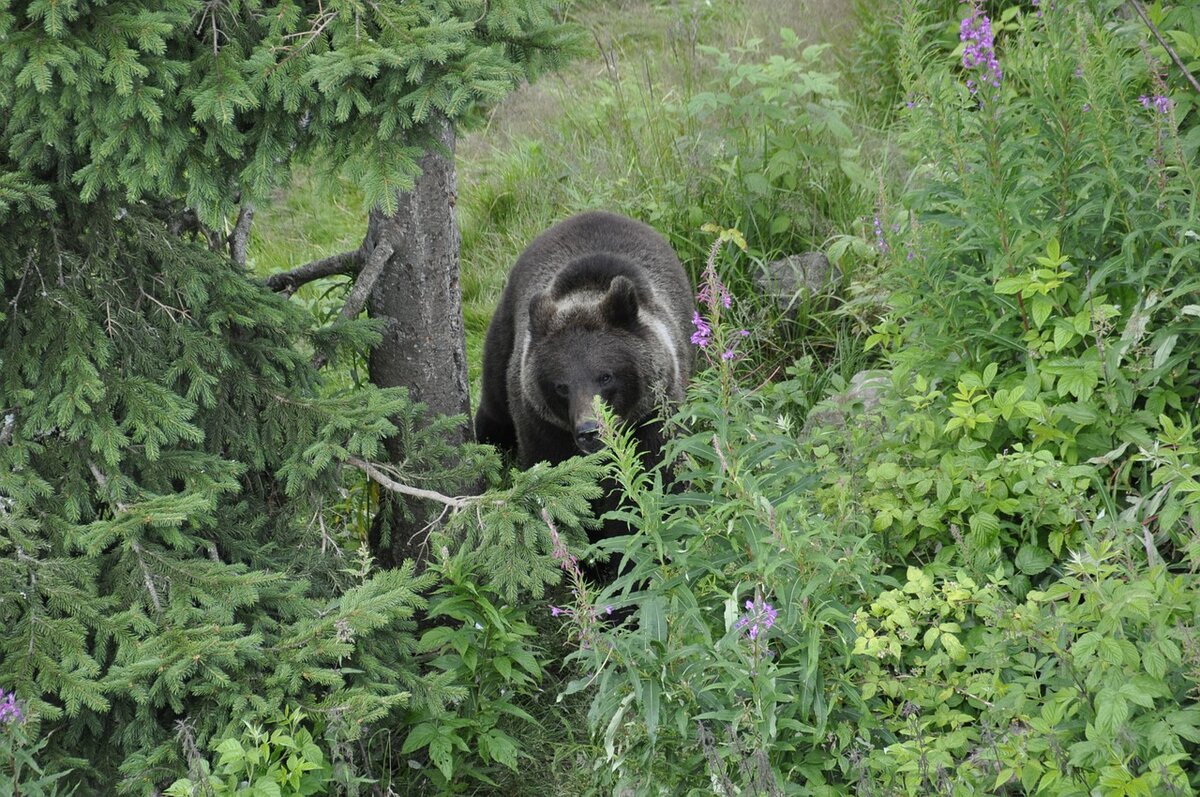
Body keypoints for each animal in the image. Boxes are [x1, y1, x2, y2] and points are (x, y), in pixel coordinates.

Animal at [470, 211, 696, 552]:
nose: (590, 431)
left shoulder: (653, 413)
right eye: (561, 386)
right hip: (504, 331)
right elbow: (556, 488)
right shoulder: (542, 426)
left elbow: (657, 477)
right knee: (494, 403)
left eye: (605, 376)